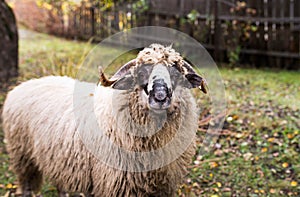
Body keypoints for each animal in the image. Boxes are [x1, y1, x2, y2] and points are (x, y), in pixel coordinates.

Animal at [2, 43, 207, 197]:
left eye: (176, 74)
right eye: (141, 73)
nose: (160, 97)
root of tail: (23, 84)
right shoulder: (115, 184)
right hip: (23, 156)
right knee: (26, 184)